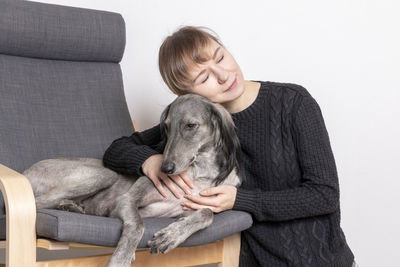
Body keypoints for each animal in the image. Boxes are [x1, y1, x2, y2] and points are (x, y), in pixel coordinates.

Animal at [25, 93, 245, 266]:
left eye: (191, 125)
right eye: (166, 127)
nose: (164, 169)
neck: (200, 172)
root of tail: (27, 171)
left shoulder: (191, 208)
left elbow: (207, 214)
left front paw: (171, 236)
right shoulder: (127, 200)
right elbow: (138, 224)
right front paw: (121, 259)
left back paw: (71, 207)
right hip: (103, 174)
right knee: (38, 203)